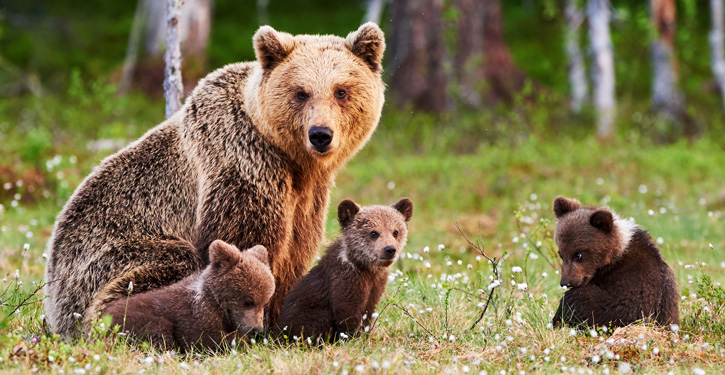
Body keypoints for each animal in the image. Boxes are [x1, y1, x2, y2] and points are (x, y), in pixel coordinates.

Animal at [43, 24, 384, 340]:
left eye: (341, 91)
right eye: (301, 92)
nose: (320, 134)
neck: (291, 159)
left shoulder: (307, 196)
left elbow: (294, 253)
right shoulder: (242, 164)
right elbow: (243, 243)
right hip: (106, 260)